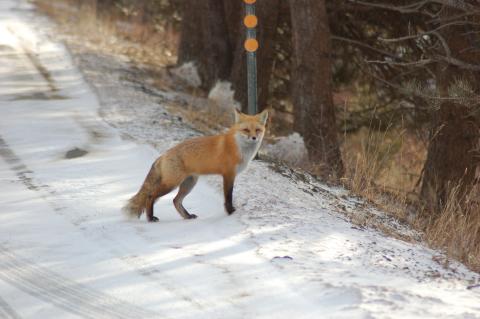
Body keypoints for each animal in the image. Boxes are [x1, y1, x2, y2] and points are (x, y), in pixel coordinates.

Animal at [122, 108, 268, 222]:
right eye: (246, 130)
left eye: (257, 130)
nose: (254, 138)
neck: (238, 148)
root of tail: (163, 155)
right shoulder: (228, 175)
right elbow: (228, 196)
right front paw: (230, 212)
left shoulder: (230, 175)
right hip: (171, 184)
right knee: (150, 195)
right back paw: (150, 218)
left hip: (189, 183)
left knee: (176, 201)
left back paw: (187, 216)